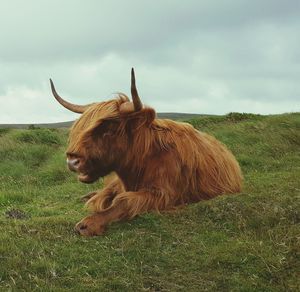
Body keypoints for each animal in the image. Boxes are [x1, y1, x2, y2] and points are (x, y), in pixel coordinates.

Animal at [49, 68, 241, 235]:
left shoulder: (165, 194)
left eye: (110, 129)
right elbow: (107, 196)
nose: (72, 161)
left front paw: (89, 224)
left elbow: (123, 201)